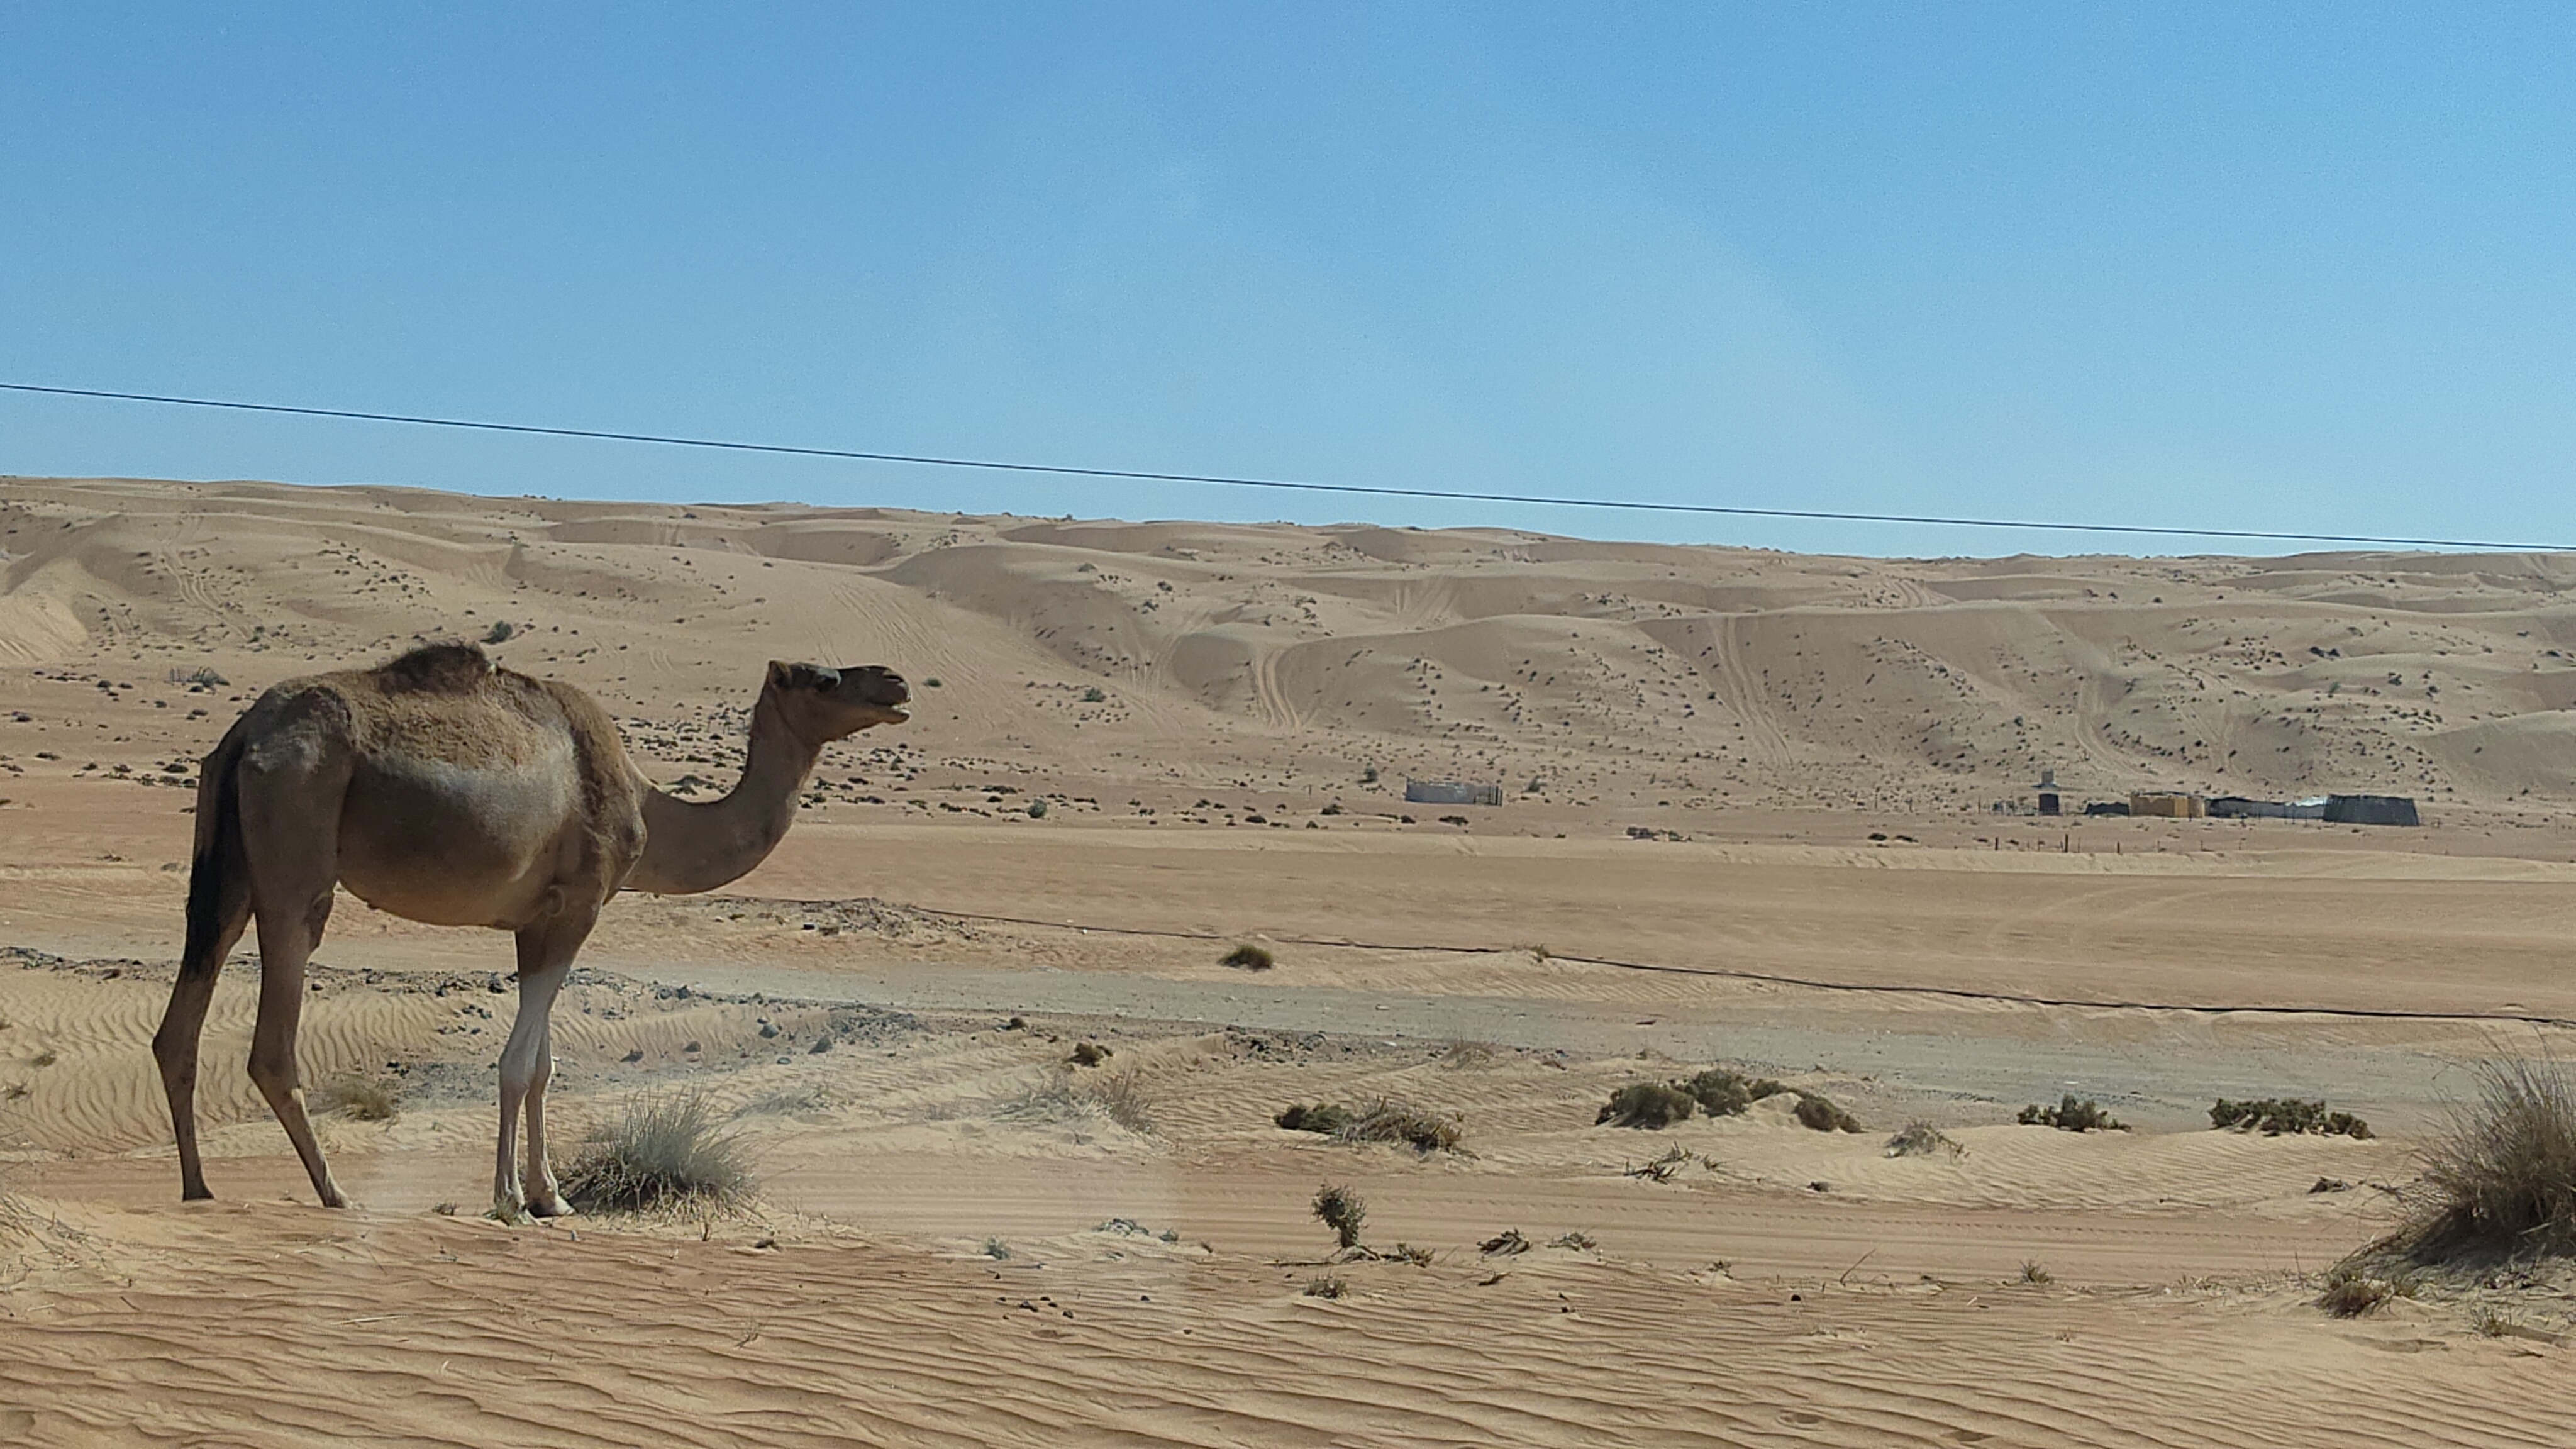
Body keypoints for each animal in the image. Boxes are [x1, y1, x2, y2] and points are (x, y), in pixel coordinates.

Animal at [149, 642, 910, 1220]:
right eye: (824, 678)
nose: (896, 682)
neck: (649, 809)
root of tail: (245, 735)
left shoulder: (535, 922)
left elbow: (544, 1065)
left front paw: (552, 1197)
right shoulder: (579, 906)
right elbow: (519, 1064)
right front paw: (513, 1199)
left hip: (226, 864)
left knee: (184, 1012)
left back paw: (198, 1186)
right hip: (296, 837)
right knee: (274, 1031)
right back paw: (333, 1191)